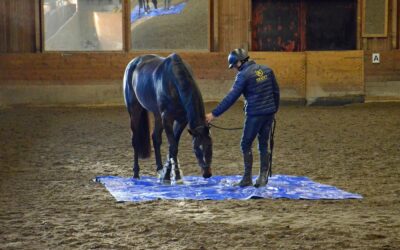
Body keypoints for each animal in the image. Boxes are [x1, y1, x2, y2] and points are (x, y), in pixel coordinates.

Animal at [122, 53, 212, 183]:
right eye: (196, 149)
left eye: (210, 146)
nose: (207, 173)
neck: (173, 82)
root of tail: (133, 63)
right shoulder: (167, 119)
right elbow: (173, 147)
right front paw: (170, 177)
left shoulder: (181, 120)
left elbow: (173, 147)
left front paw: (172, 175)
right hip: (134, 111)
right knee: (135, 140)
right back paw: (136, 174)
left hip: (157, 115)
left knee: (155, 138)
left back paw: (160, 170)